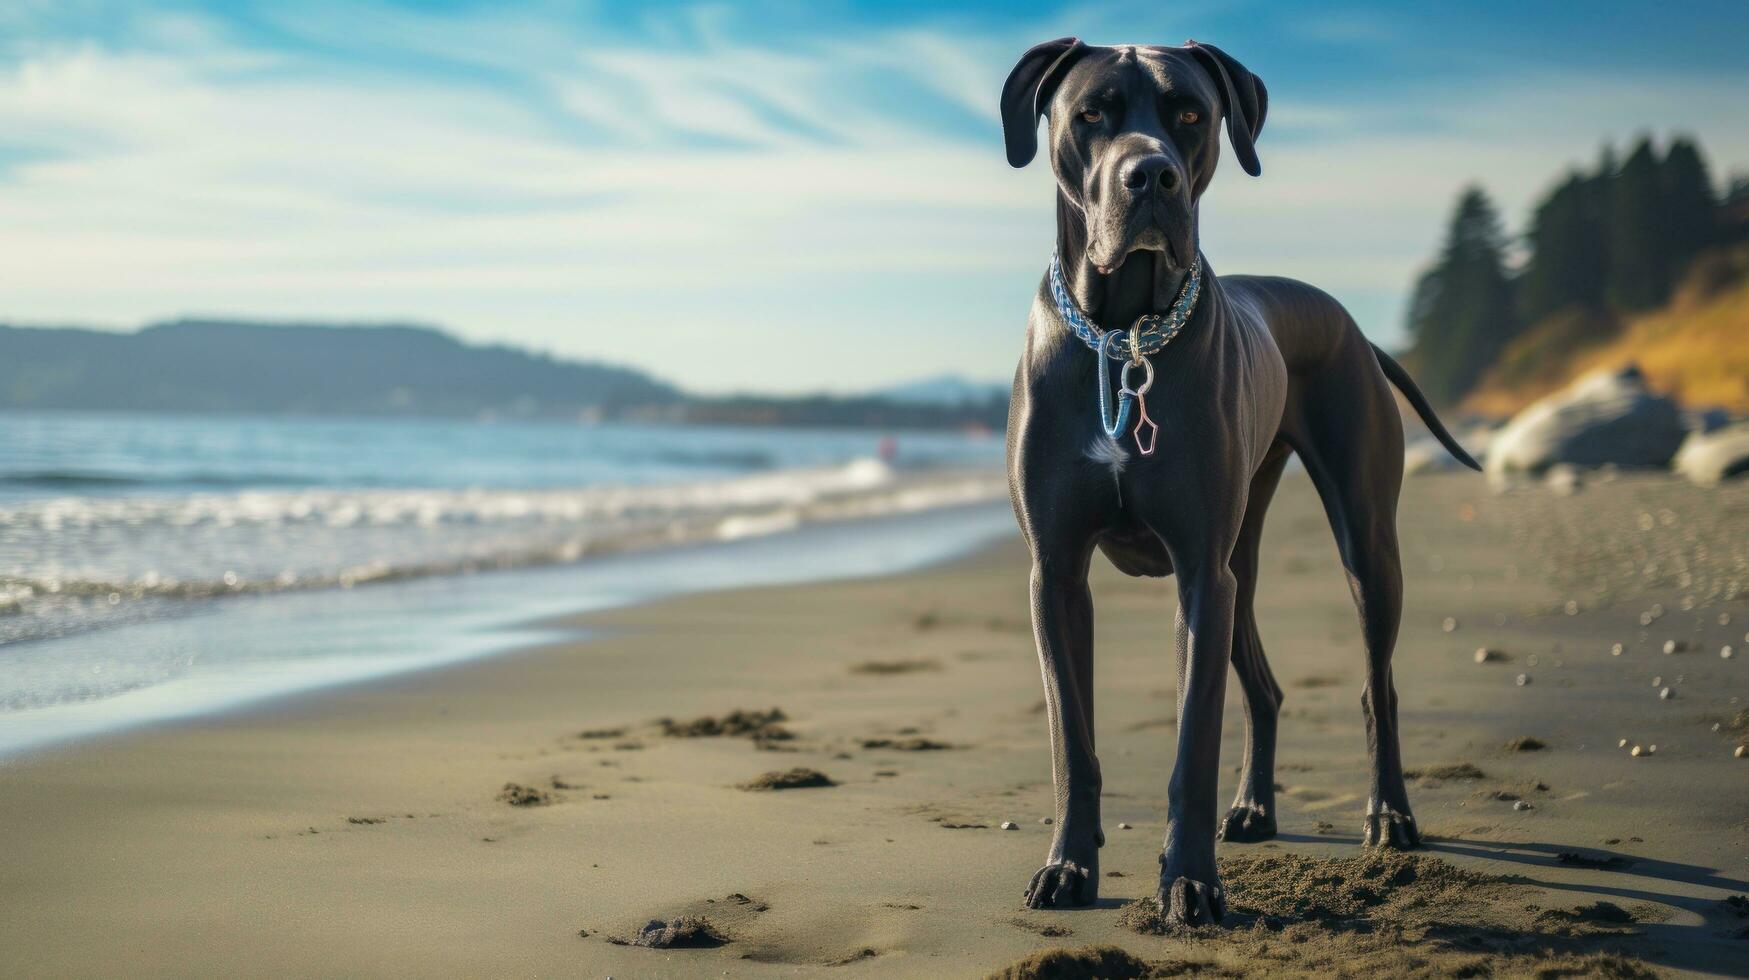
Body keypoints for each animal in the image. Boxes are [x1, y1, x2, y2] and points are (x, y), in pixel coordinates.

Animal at [1000, 40, 1476, 924]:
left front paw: (1189, 883)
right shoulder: (1057, 575)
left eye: (1189, 113)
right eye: (1091, 114)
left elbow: (1192, 744)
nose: (1150, 176)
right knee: (1263, 685)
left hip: (1361, 544)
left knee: (1377, 689)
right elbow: (1071, 743)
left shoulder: (1196, 574)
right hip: (1241, 566)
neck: (1123, 337)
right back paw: (1254, 807)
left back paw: (1388, 816)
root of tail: (1352, 326)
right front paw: (1068, 867)